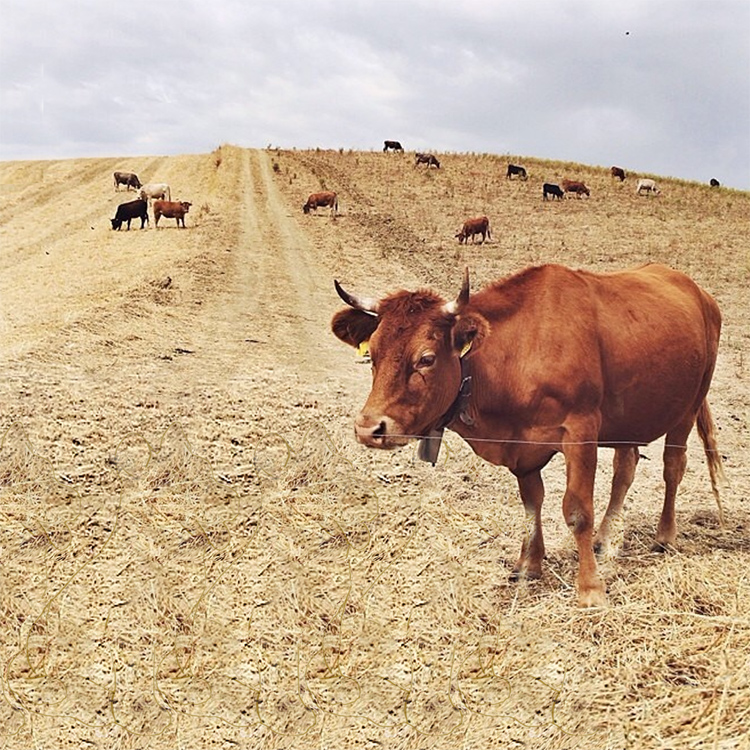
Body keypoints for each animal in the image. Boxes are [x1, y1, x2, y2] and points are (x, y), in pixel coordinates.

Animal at [331, 264, 724, 607]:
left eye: (426, 358)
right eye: (372, 355)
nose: (368, 428)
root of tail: (697, 290)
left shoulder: (581, 431)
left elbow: (577, 511)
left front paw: (590, 589)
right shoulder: (522, 445)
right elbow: (532, 502)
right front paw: (529, 564)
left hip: (688, 405)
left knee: (673, 467)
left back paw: (665, 536)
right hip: (629, 419)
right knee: (624, 470)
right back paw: (605, 538)